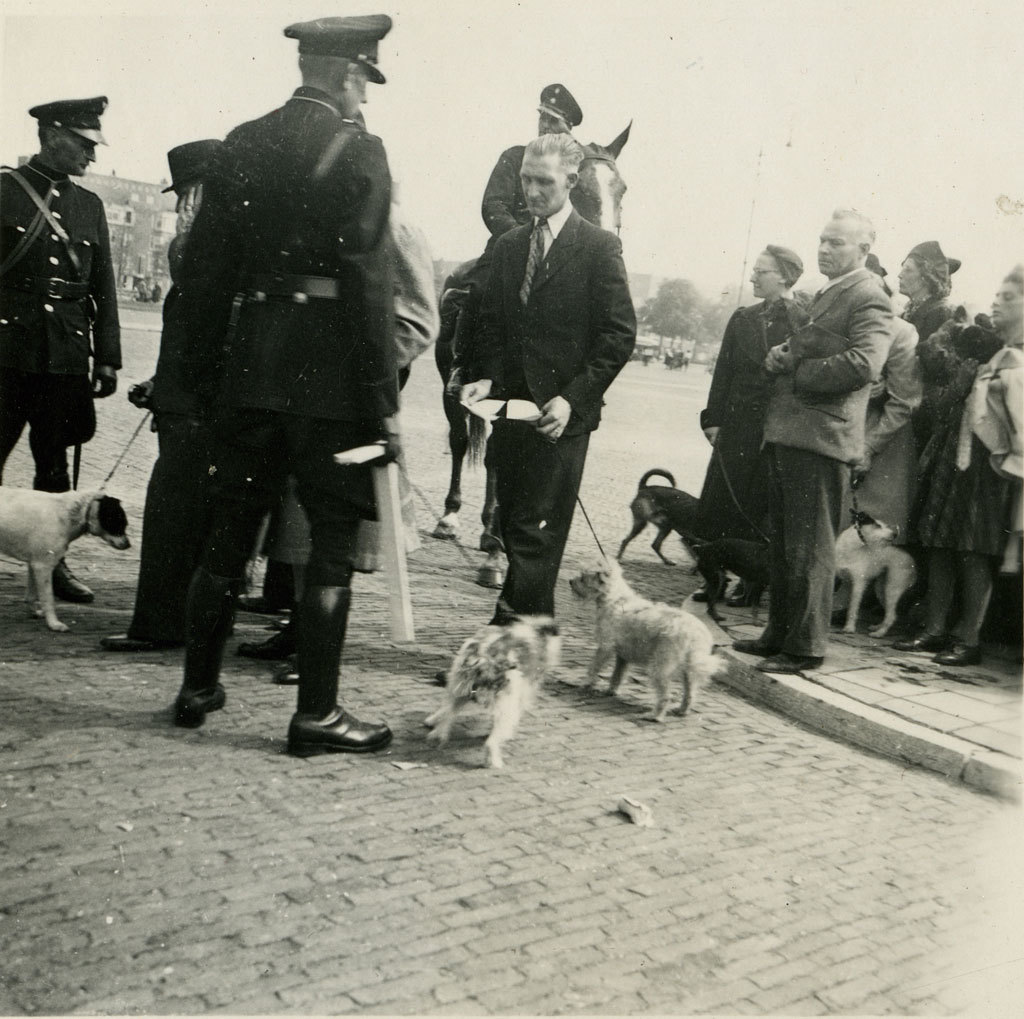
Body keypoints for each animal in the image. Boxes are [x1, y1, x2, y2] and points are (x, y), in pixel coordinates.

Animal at [0, 489, 132, 634]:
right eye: (119, 523)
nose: (128, 545)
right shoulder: (43, 566)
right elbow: (48, 599)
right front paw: (53, 624)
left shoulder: (34, 564)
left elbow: (31, 596)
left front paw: (34, 613)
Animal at [569, 561, 729, 720]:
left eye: (583, 577)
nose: (570, 581)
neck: (615, 599)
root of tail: (694, 633)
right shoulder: (622, 657)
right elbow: (617, 675)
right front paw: (611, 691)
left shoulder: (605, 647)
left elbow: (593, 667)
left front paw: (585, 683)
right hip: (688, 671)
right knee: (689, 694)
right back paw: (681, 711)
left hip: (660, 667)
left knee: (665, 695)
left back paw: (654, 716)